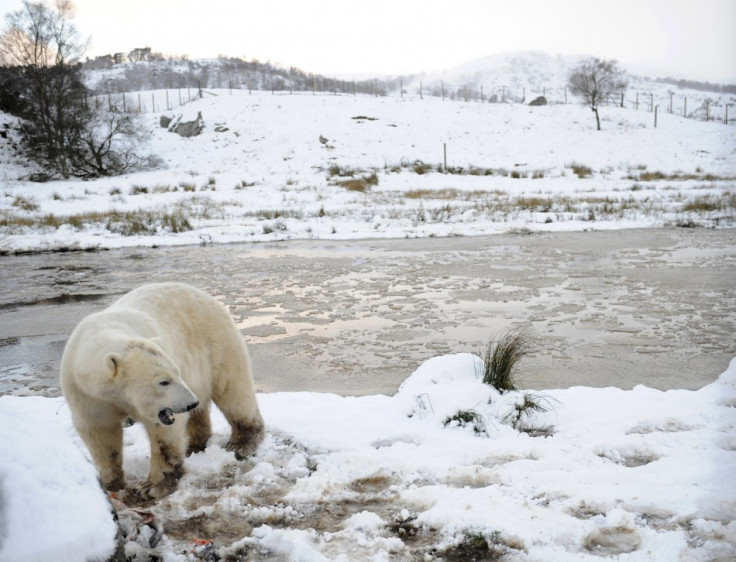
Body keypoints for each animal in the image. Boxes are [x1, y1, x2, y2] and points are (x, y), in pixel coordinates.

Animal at [61, 282, 264, 496]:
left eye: (176, 373)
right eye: (164, 381)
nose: (191, 403)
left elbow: (164, 435)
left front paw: (151, 487)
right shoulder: (86, 394)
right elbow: (100, 432)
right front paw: (111, 483)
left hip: (218, 344)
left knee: (233, 391)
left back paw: (241, 444)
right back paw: (194, 443)